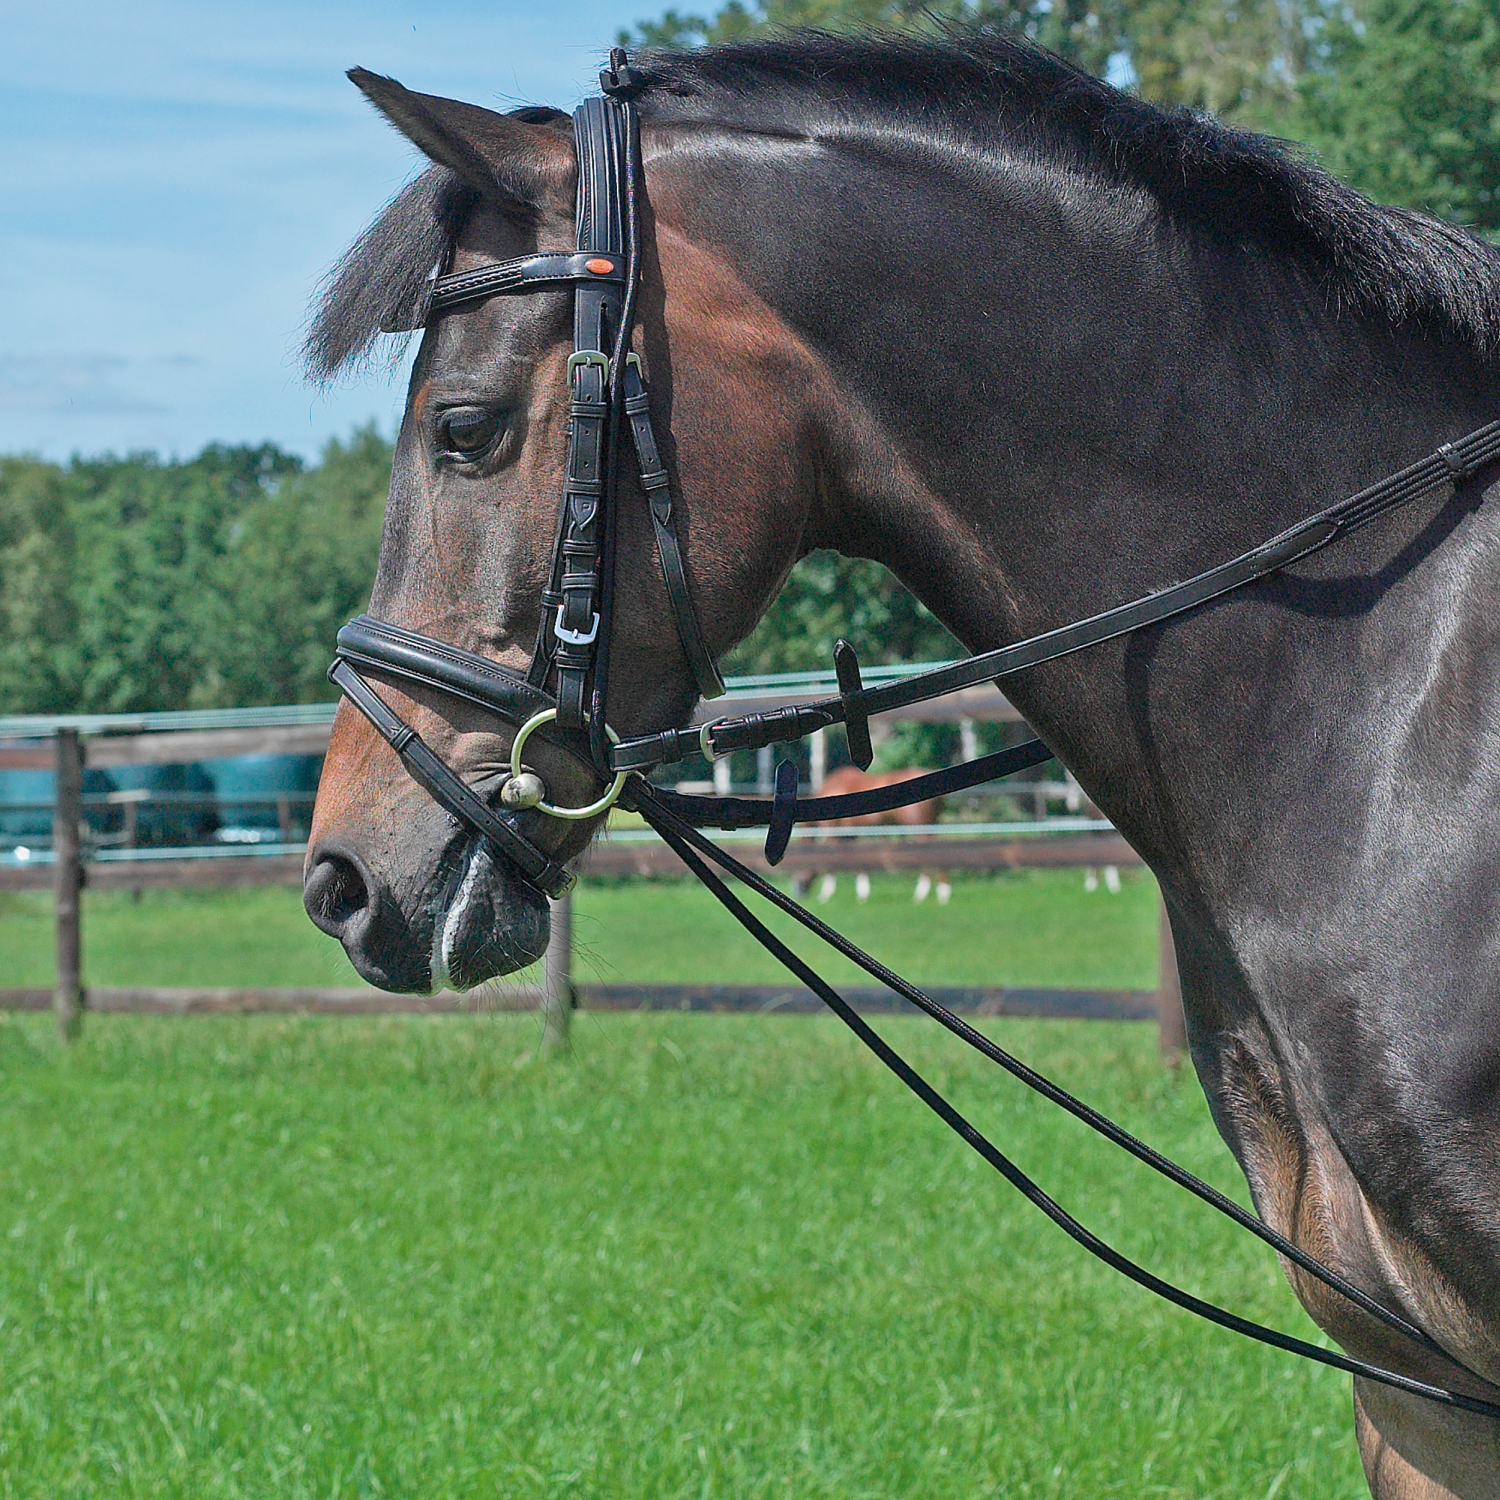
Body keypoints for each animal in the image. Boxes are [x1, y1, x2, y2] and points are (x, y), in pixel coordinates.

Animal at [786, 762, 948, 900]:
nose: (797, 892)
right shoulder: (851, 833)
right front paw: (863, 891)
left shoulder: (833, 832)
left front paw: (827, 893)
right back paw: (941, 892)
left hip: (921, 828)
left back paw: (924, 893)